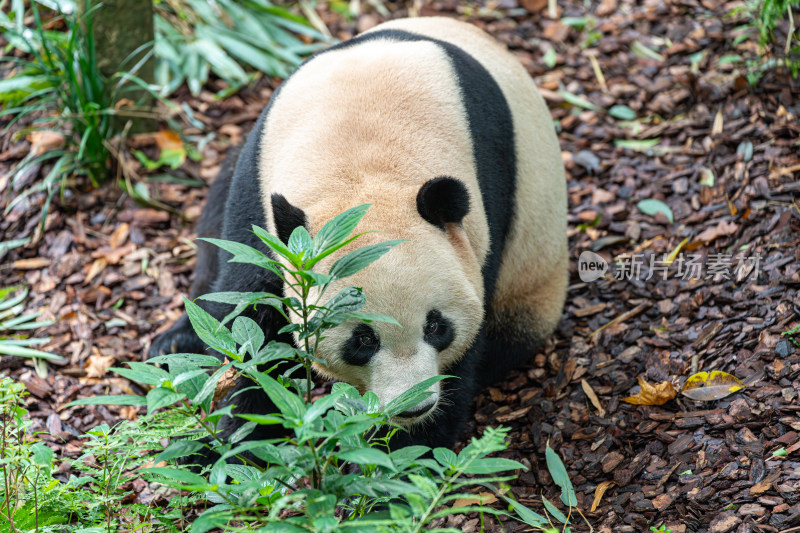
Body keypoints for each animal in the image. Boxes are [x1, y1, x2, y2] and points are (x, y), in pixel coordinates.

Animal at [148, 15, 564, 448]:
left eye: (436, 326)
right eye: (363, 340)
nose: (413, 407)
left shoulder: (484, 205)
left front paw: (406, 448)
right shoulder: (259, 193)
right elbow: (252, 317)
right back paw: (176, 342)